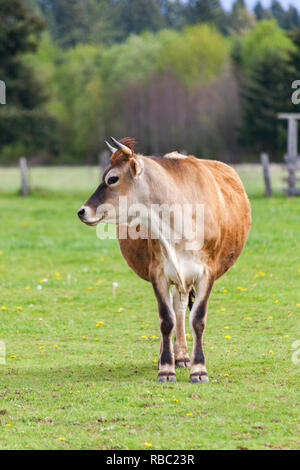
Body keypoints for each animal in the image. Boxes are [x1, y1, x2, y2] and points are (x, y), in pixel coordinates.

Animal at [77, 138, 251, 384]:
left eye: (112, 178)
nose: (82, 211)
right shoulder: (157, 273)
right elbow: (166, 319)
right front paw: (166, 368)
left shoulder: (207, 273)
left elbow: (198, 319)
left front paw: (199, 369)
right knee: (173, 308)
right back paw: (170, 357)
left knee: (180, 306)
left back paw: (183, 357)